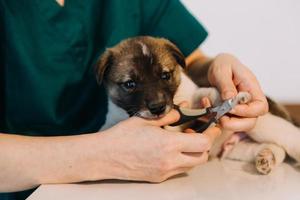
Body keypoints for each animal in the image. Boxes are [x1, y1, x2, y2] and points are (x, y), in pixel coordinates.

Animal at [96, 36, 300, 174]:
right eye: (129, 84)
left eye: (165, 75)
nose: (158, 108)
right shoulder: (113, 119)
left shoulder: (193, 95)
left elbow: (208, 93)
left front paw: (230, 97)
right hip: (239, 149)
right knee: (273, 148)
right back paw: (267, 157)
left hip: (263, 126)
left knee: (289, 137)